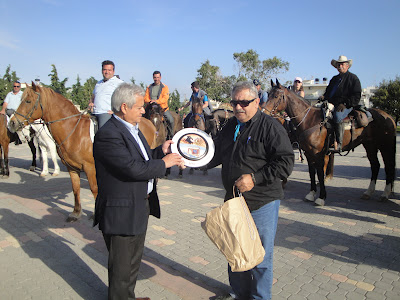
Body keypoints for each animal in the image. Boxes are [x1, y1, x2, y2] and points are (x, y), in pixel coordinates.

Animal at [9, 83, 156, 221]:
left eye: (28, 101)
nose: (12, 123)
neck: (74, 132)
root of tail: (148, 122)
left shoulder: (90, 168)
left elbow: (94, 189)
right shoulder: (72, 167)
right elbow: (76, 188)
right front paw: (76, 212)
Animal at [264, 79, 396, 206]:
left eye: (275, 96)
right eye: (268, 94)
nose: (265, 113)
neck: (309, 121)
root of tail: (388, 116)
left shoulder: (317, 154)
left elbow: (319, 174)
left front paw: (321, 198)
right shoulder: (308, 153)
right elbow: (311, 173)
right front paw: (311, 194)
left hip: (385, 146)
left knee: (388, 166)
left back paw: (385, 194)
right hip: (370, 145)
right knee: (375, 165)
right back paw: (368, 192)